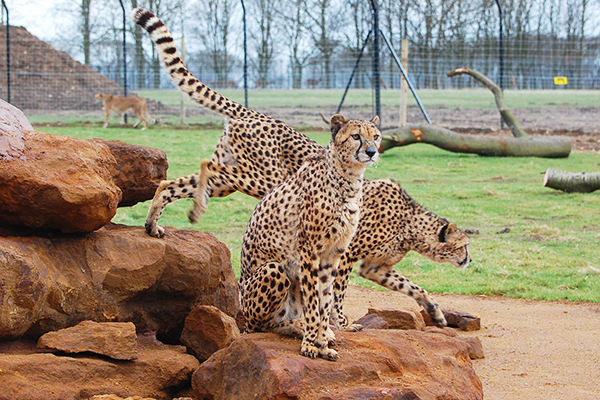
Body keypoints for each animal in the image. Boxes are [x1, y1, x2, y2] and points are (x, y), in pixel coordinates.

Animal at [129, 7, 322, 238]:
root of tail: (250, 112)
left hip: (227, 181)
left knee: (169, 184)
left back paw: (154, 224)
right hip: (266, 178)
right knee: (207, 166)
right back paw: (197, 209)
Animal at [239, 114, 380, 360]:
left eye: (376, 136)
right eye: (356, 136)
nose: (371, 151)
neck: (347, 178)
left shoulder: (333, 253)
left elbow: (326, 298)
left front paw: (322, 341)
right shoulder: (309, 252)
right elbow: (314, 302)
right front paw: (310, 345)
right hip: (273, 270)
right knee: (261, 326)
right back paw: (299, 327)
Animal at [330, 180, 472, 330]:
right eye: (464, 246)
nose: (470, 259)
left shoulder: (373, 267)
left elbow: (410, 286)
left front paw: (434, 310)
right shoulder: (345, 254)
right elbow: (337, 293)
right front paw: (342, 325)